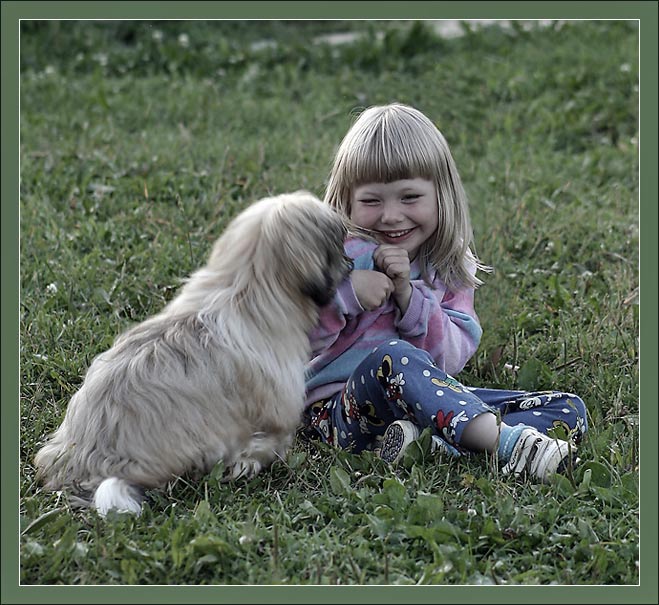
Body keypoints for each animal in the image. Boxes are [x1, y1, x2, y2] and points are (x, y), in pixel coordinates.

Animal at [34, 189, 356, 516]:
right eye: (337, 245)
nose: (351, 262)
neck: (244, 290)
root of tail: (79, 467)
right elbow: (268, 442)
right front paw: (249, 463)